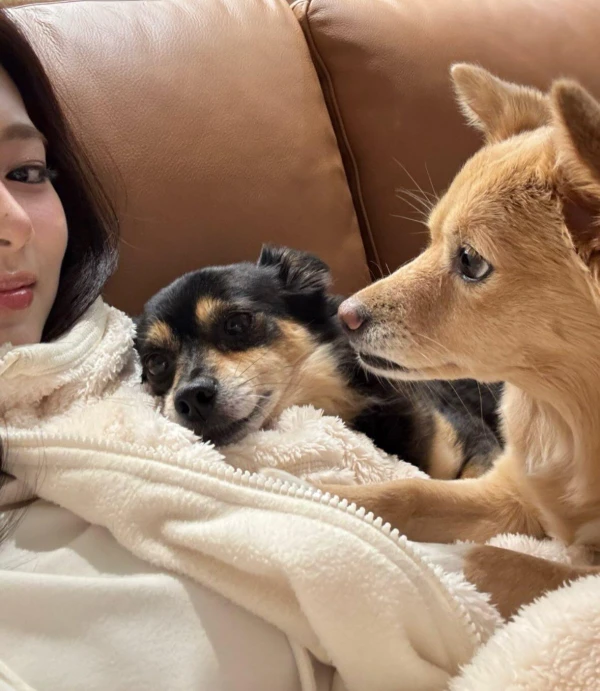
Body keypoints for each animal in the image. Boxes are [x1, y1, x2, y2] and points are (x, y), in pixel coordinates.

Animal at [321, 64, 600, 618]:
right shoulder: (511, 490)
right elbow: (405, 494)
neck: (569, 415)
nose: (344, 315)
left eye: (469, 260)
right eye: (429, 238)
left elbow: (491, 562)